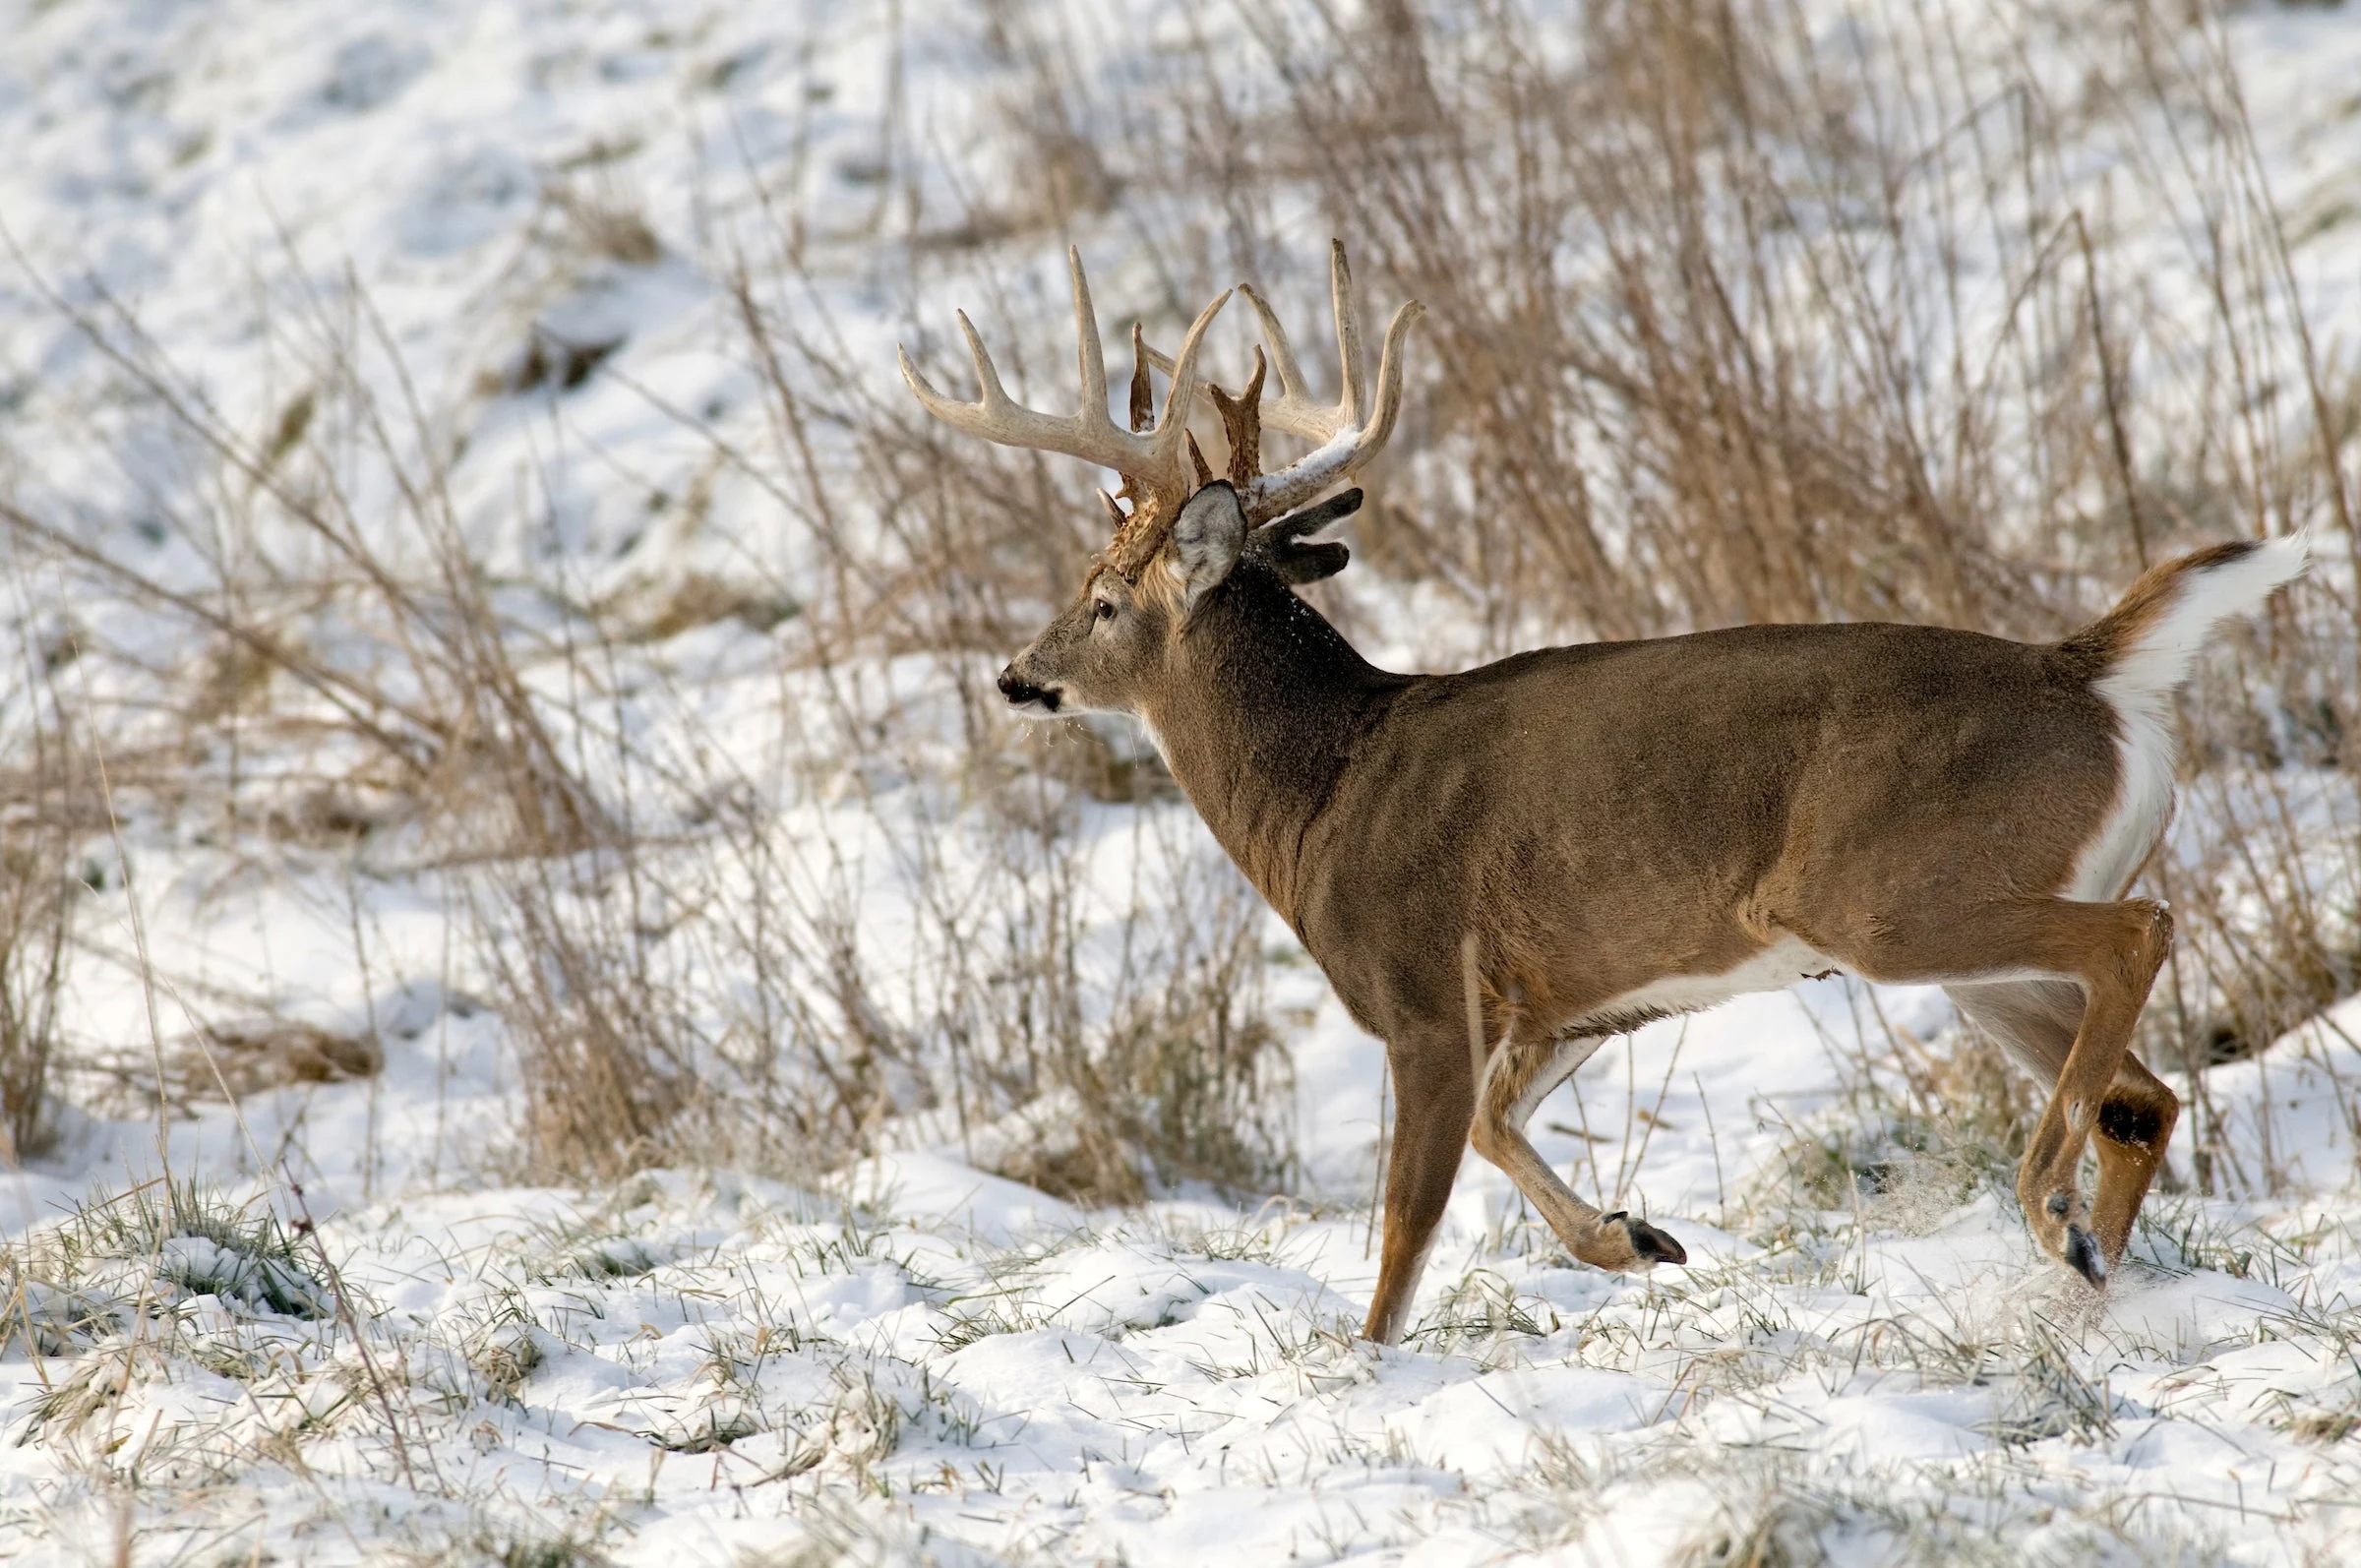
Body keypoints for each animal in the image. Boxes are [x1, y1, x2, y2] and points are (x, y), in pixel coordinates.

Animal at [901, 238, 2304, 1341]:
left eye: (1100, 596)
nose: (1018, 676)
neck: (1323, 794)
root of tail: (2091, 670)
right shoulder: (1570, 1000)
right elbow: (1498, 1133)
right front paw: (1638, 1238)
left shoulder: (1423, 987)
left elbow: (1403, 1239)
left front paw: (1374, 1367)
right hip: (1969, 945)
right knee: (2142, 1091)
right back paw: (2091, 1265)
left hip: (1897, 892)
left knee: (2142, 937)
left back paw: (2049, 1209)